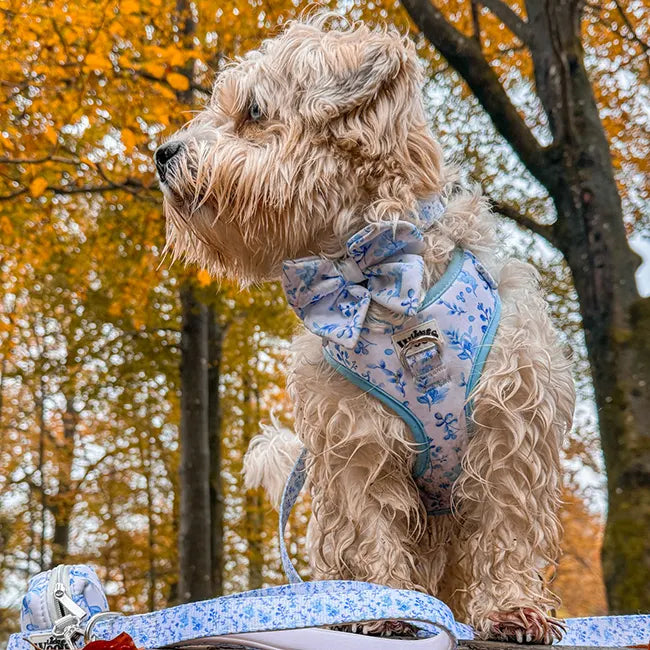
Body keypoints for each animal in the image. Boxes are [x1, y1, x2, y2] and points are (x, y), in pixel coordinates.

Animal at [156, 12, 572, 640]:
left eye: (253, 110)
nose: (162, 154)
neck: (377, 276)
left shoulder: (511, 429)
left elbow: (508, 529)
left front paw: (511, 607)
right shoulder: (355, 440)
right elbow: (371, 526)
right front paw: (385, 607)